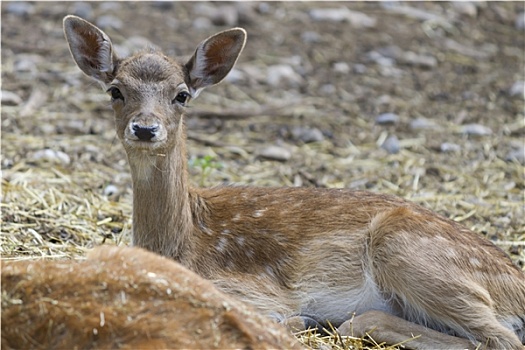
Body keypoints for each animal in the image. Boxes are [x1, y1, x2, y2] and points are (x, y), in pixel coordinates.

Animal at [62, 15, 524, 348]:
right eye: (115, 91)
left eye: (182, 94)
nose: (144, 128)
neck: (181, 242)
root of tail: (516, 287)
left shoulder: (253, 292)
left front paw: (298, 320)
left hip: (412, 255)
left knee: (500, 339)